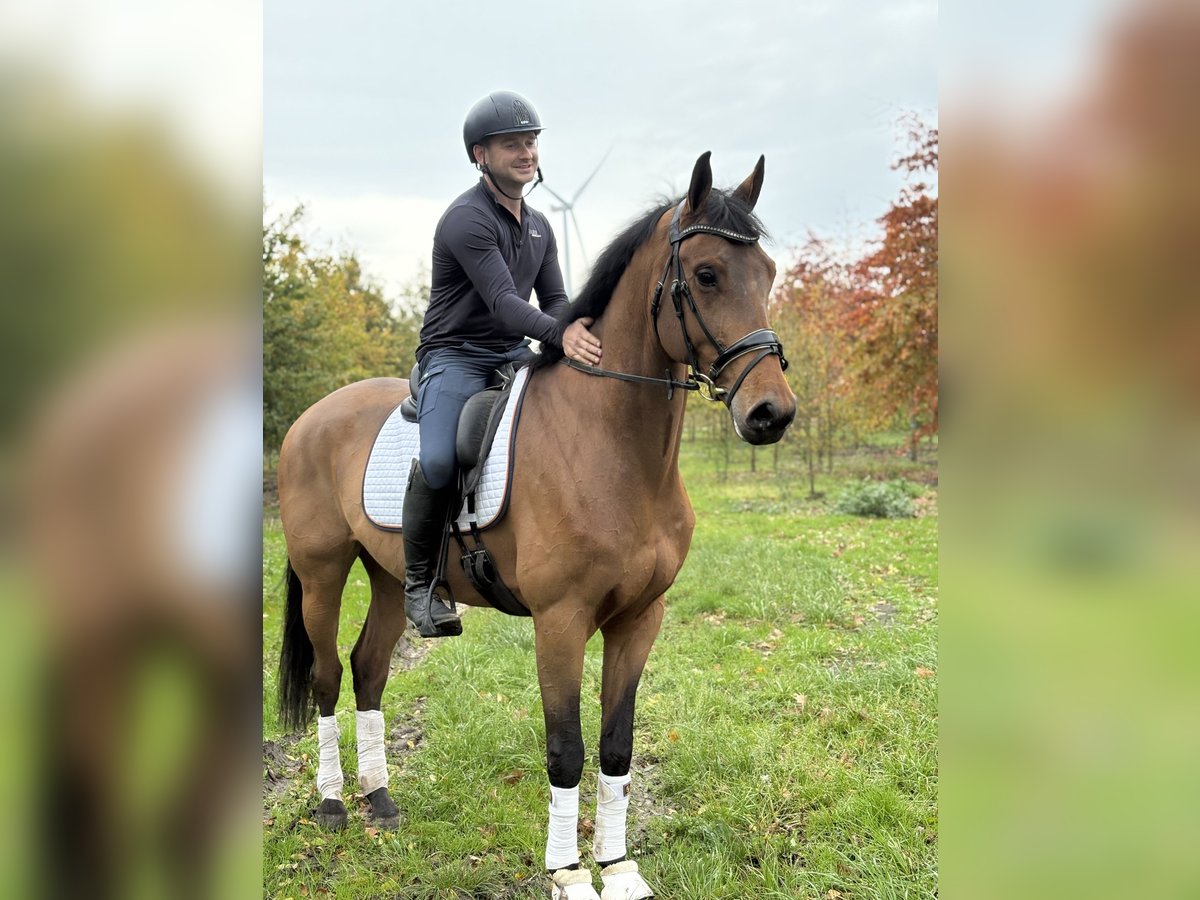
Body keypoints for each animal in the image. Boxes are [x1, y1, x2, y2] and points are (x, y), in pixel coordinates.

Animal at [275, 152, 797, 899]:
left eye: (770, 274)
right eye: (706, 274)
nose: (771, 414)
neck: (614, 449)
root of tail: (309, 419)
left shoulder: (640, 618)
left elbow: (616, 744)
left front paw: (619, 866)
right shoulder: (561, 621)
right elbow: (565, 749)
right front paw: (569, 873)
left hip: (388, 577)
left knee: (368, 669)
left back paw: (380, 798)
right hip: (322, 574)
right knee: (324, 677)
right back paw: (333, 804)